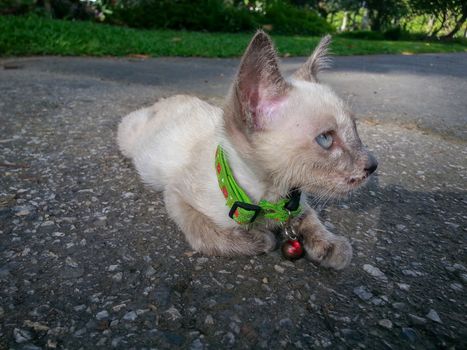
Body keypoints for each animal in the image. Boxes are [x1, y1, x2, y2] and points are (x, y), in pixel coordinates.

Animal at [118, 30, 380, 270]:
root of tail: (169, 98)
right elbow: (213, 236)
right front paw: (263, 238)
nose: (372, 165)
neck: (271, 197)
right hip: (128, 138)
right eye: (325, 139)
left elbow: (310, 218)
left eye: (355, 129)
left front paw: (332, 247)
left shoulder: (296, 200)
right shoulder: (176, 196)